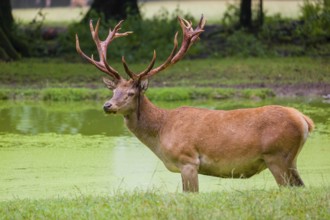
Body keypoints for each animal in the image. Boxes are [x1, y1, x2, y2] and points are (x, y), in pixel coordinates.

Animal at [75, 15, 314, 192]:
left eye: (131, 93)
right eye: (114, 91)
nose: (108, 106)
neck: (161, 132)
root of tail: (305, 120)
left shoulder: (188, 160)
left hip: (277, 156)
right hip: (289, 160)